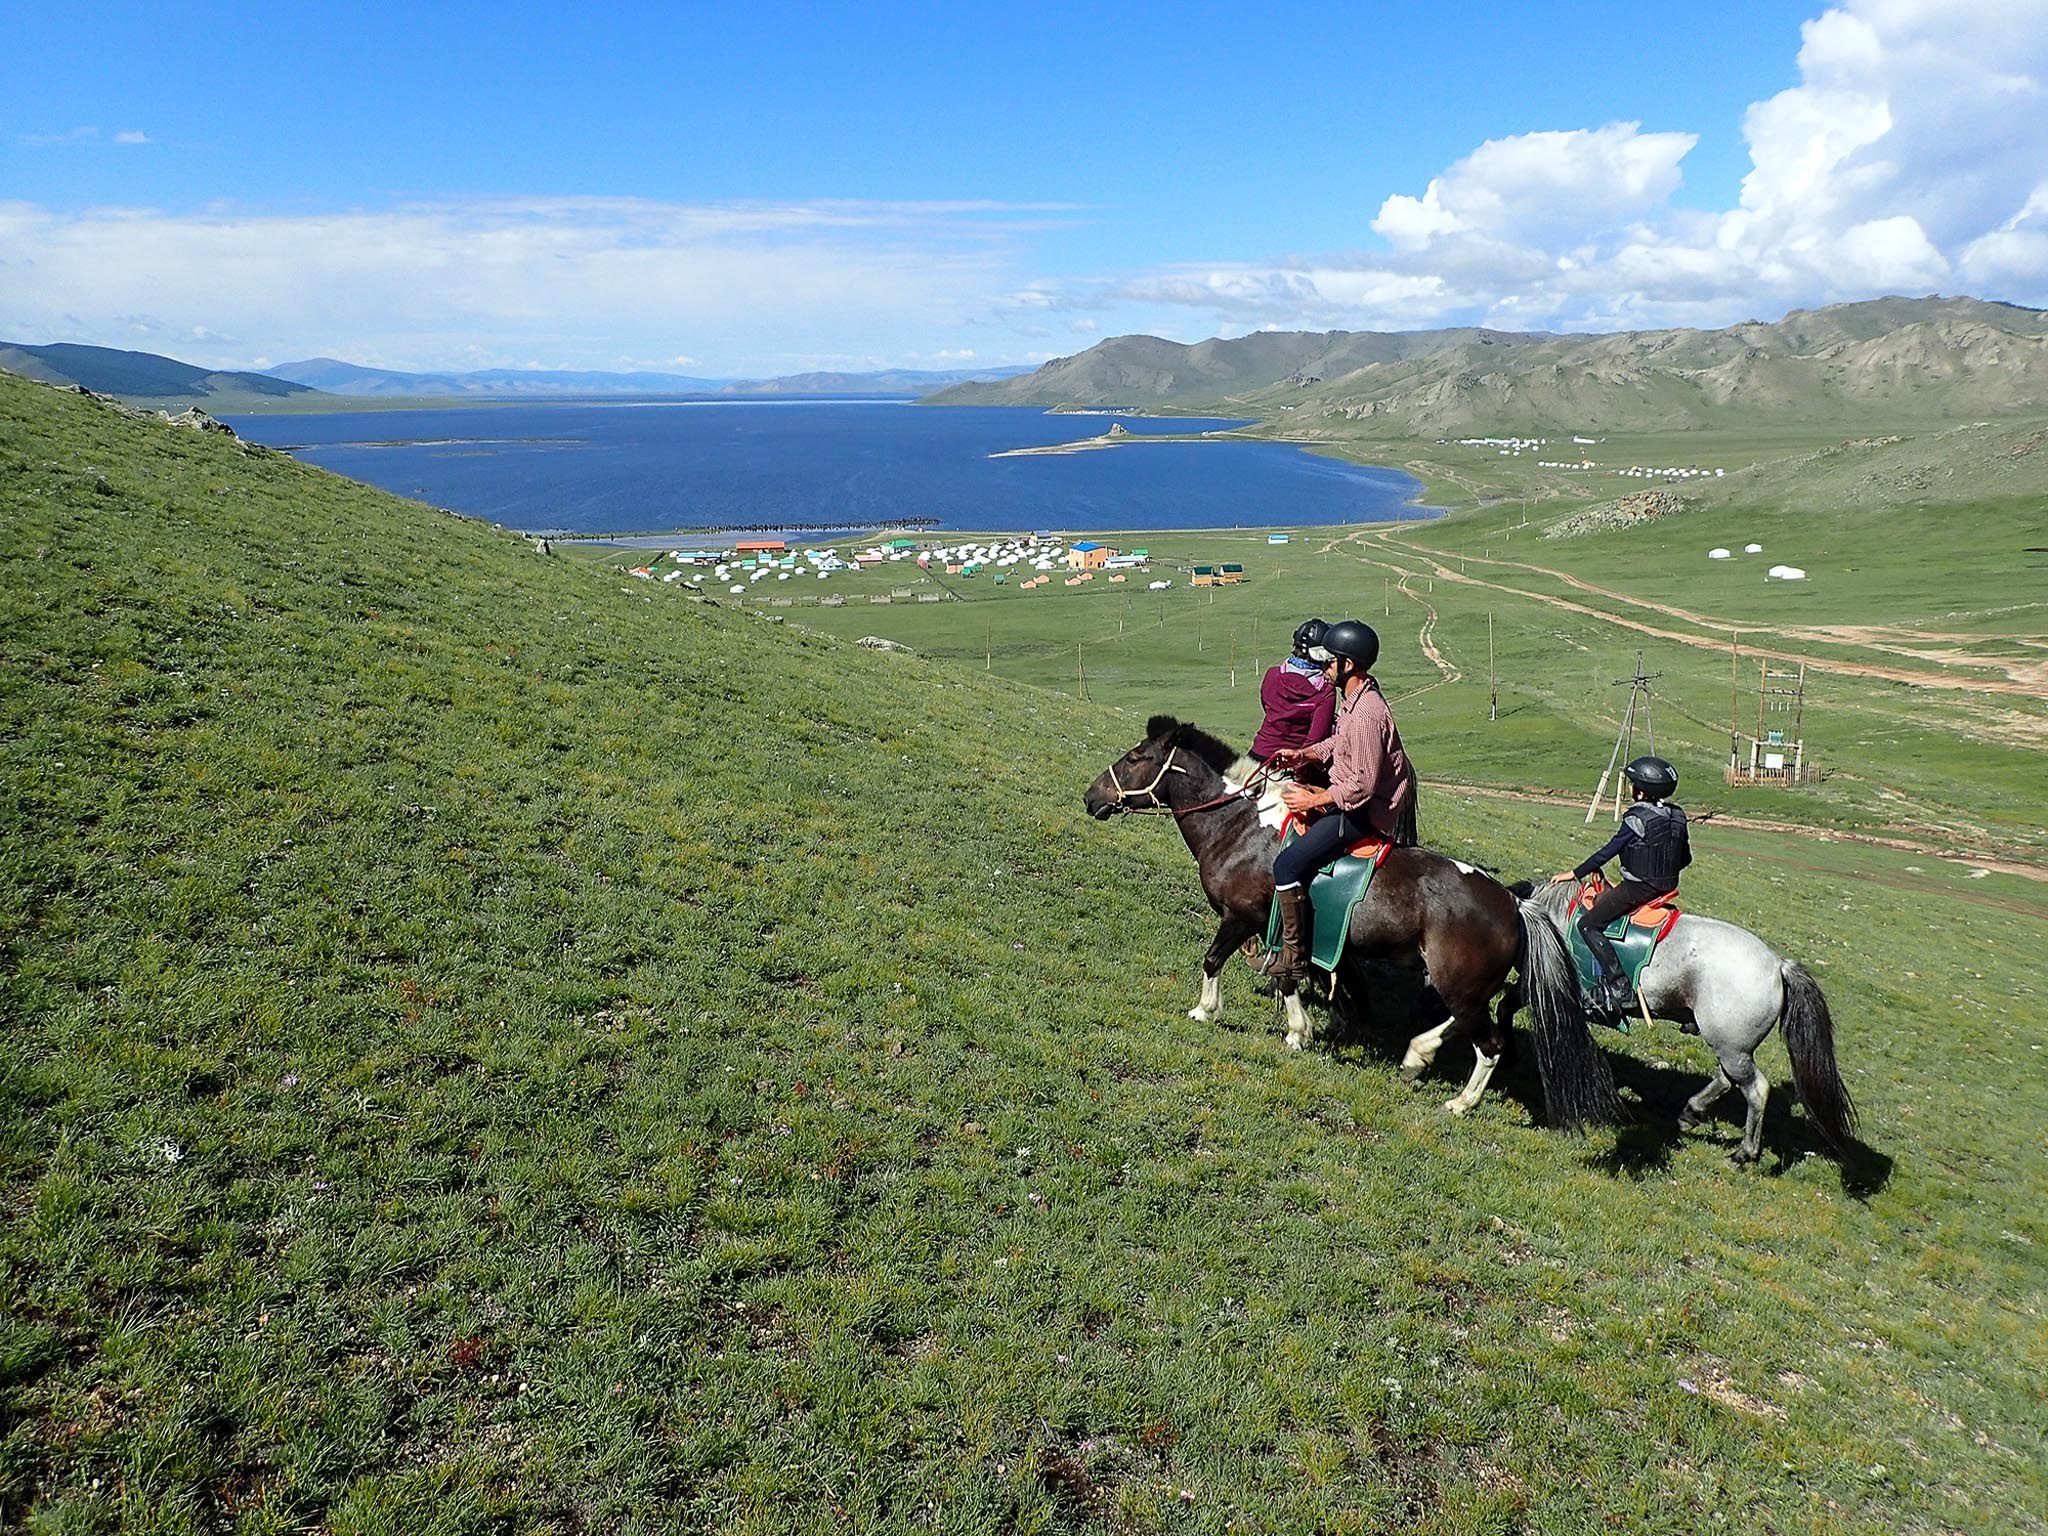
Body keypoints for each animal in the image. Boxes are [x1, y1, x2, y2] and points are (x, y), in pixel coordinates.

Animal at [1083, 716, 1623, 1132]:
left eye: (1135, 757)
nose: (1091, 797)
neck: (1239, 827)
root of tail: (1513, 903)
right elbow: (1295, 976)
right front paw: (1302, 1029)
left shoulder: (1246, 916)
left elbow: (1220, 960)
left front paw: (1209, 1011)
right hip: (1461, 984)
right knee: (1462, 1024)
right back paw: (1417, 1054)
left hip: (1460, 984)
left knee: (1488, 1044)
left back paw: (1459, 1102)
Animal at [1516, 877, 1857, 1164]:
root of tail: (1777, 966)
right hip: (1730, 1046)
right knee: (1727, 1079)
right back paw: (1690, 1113)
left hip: (1731, 1046)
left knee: (1755, 1089)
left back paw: (1744, 1153)